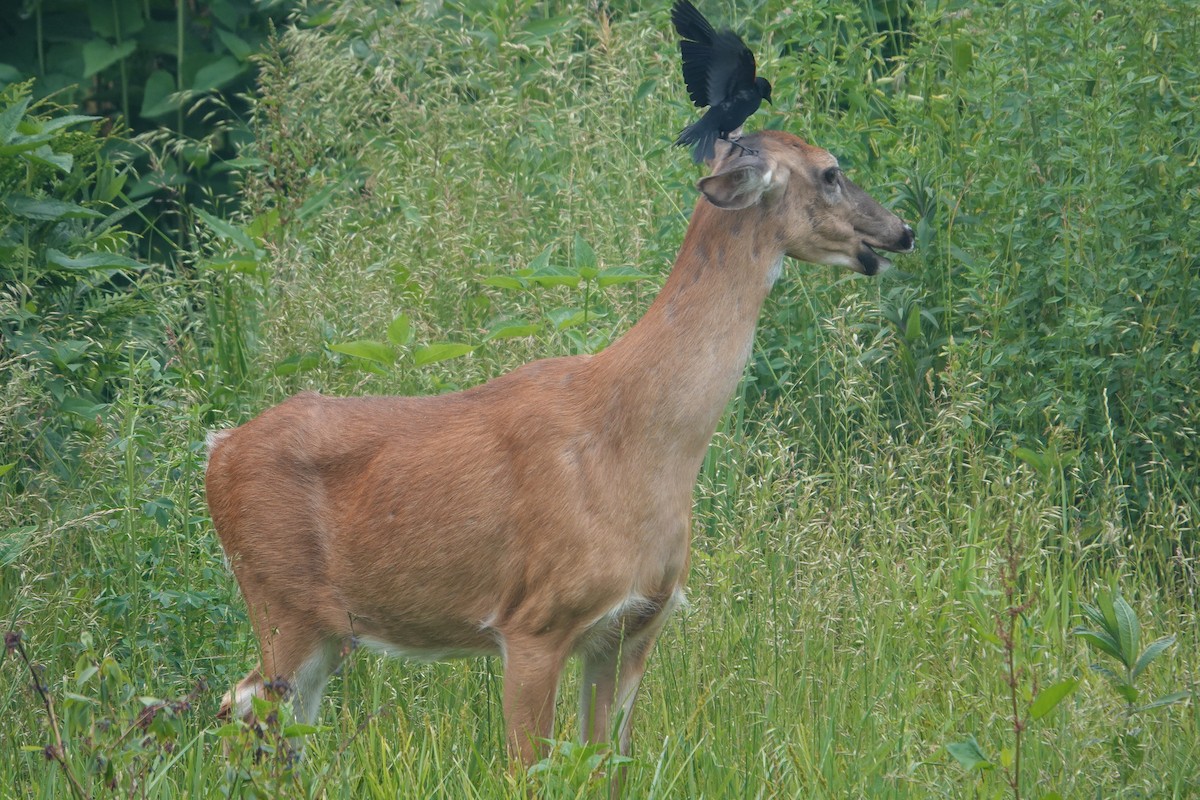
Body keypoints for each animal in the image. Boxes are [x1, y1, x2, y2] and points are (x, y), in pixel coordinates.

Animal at [206, 130, 912, 767]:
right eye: (830, 171)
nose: (902, 231)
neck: (637, 445)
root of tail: (219, 449)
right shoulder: (533, 621)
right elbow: (530, 768)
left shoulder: (633, 628)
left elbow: (604, 762)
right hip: (279, 598)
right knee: (245, 706)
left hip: (328, 628)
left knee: (275, 720)